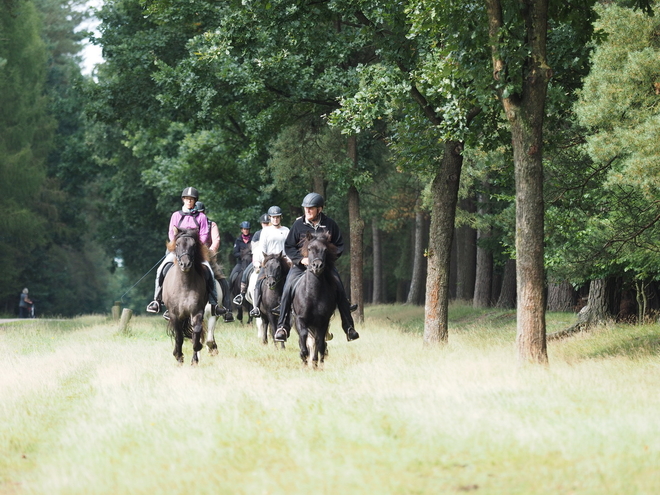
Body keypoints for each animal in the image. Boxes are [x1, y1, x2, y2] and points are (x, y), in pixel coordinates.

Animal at [163, 229, 209, 364]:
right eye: (177, 244)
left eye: (193, 245)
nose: (185, 264)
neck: (184, 285)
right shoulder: (174, 315)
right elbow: (179, 336)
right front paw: (178, 356)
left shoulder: (197, 312)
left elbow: (196, 332)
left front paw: (197, 349)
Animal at [292, 232, 338, 368]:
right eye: (309, 249)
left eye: (325, 250)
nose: (317, 266)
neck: (313, 296)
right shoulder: (300, 320)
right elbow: (303, 339)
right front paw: (304, 360)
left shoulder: (323, 322)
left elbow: (320, 343)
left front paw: (318, 364)